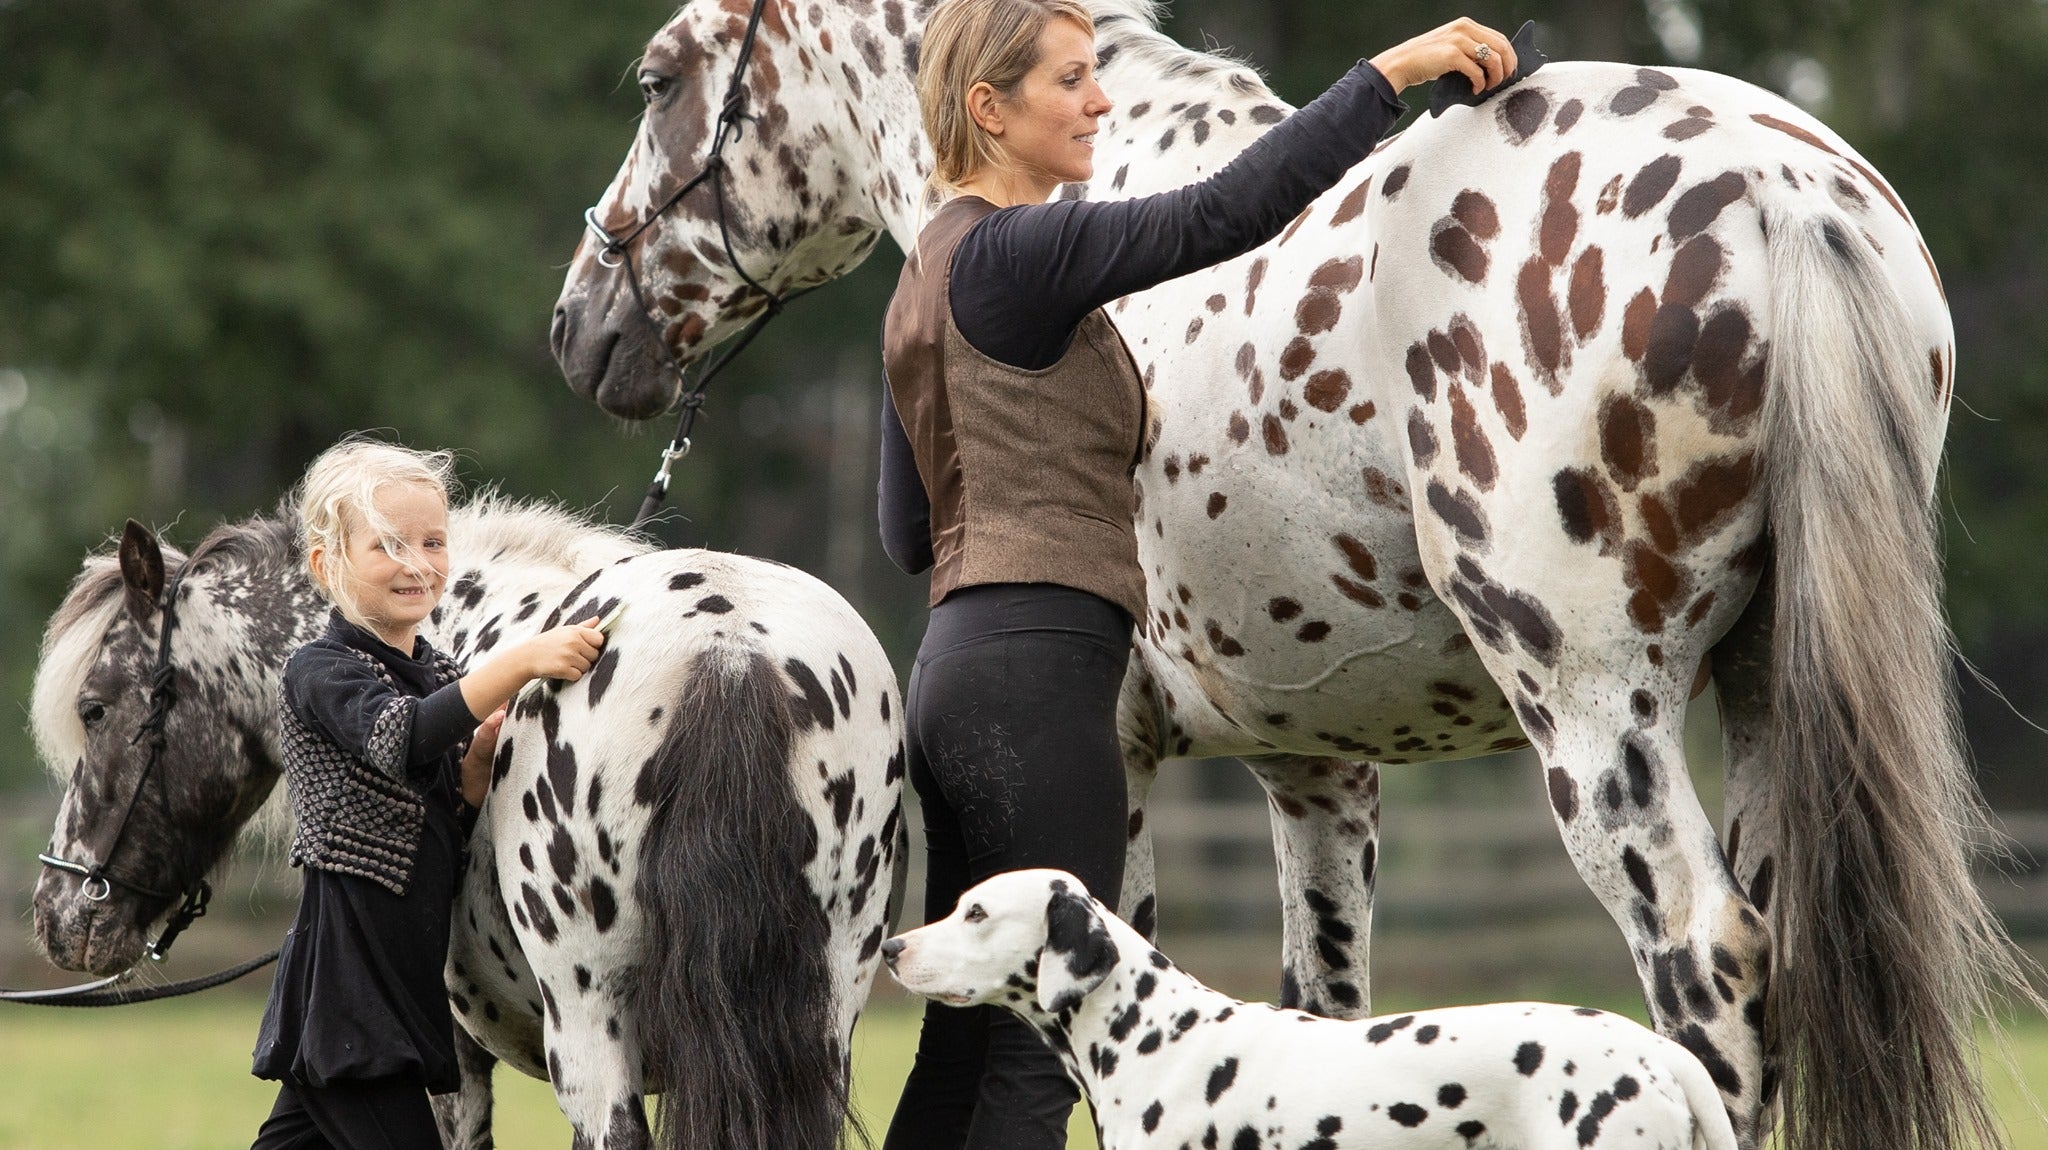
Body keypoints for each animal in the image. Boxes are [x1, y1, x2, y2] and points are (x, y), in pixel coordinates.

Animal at [29, 497, 904, 1150]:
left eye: (94, 707)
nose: (58, 913)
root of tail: (725, 645)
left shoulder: (449, 1066)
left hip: (592, 1036)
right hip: (819, 1026)